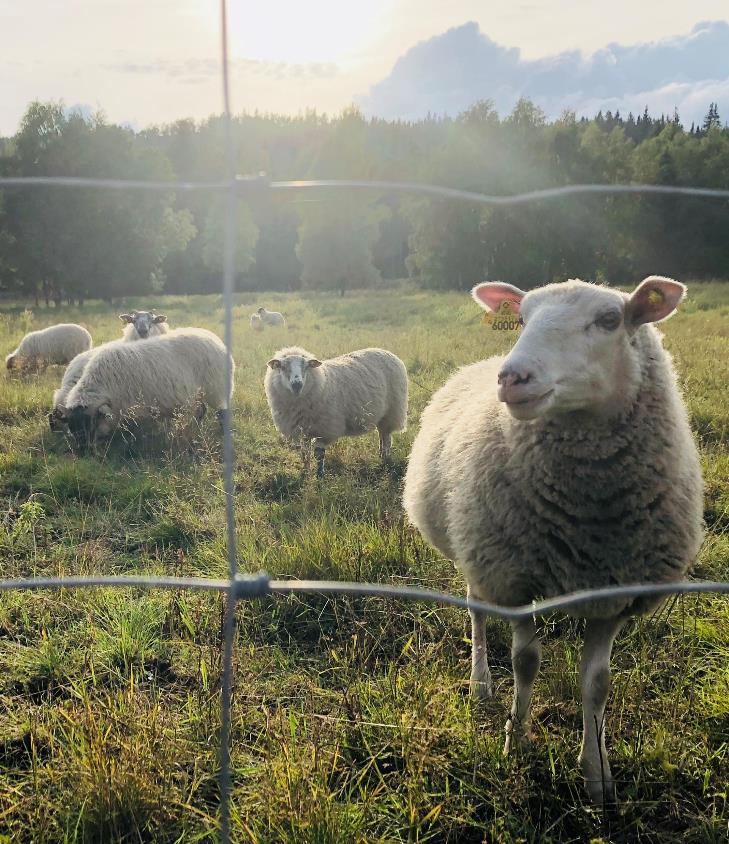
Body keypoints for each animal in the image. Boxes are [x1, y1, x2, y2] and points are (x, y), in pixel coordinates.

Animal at [57, 328, 233, 452]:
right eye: (71, 426)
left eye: (89, 422)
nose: (84, 451)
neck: (102, 383)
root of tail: (215, 339)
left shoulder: (133, 408)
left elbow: (134, 431)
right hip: (199, 394)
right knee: (201, 411)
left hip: (216, 389)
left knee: (222, 413)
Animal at [264, 342, 406, 474]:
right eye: (283, 367)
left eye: (306, 367)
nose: (297, 385)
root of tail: (385, 351)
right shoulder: (303, 430)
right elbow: (305, 453)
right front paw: (306, 472)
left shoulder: (325, 429)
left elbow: (319, 454)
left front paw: (320, 475)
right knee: (381, 435)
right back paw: (381, 455)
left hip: (392, 412)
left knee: (386, 438)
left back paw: (385, 458)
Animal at [400, 276, 704, 804]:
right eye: (522, 318)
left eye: (609, 320)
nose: (511, 378)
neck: (590, 515)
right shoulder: (516, 577)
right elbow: (525, 662)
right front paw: (515, 742)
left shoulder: (614, 594)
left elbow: (597, 684)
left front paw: (597, 774)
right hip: (479, 550)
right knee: (477, 609)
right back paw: (481, 683)